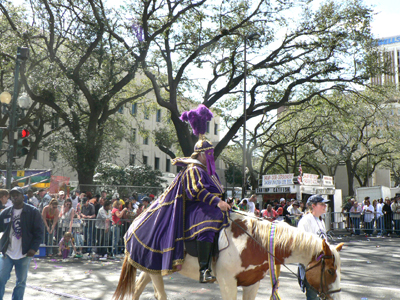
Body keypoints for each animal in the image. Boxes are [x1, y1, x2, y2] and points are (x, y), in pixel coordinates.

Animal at [113, 212, 344, 298]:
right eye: (330, 271)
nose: (335, 296)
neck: (255, 241)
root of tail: (135, 221)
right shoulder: (227, 283)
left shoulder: (252, 283)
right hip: (155, 270)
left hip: (151, 268)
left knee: (137, 288)